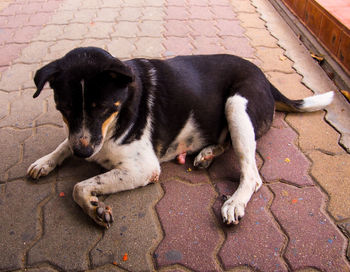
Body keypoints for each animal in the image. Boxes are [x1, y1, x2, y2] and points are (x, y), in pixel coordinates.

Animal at [28, 46, 334, 227]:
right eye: (64, 108)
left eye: (102, 108)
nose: (83, 154)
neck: (121, 110)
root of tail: (265, 78)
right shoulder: (80, 139)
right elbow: (65, 144)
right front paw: (45, 161)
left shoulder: (143, 168)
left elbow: (79, 186)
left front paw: (94, 208)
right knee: (226, 142)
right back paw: (207, 153)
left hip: (236, 104)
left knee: (252, 174)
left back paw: (234, 201)